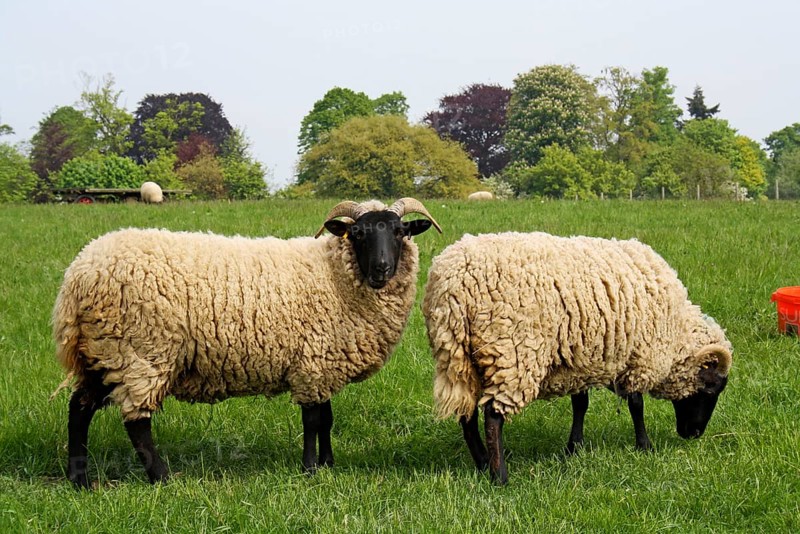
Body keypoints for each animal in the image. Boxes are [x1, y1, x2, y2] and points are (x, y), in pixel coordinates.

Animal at [53, 197, 441, 489]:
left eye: (400, 232)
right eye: (358, 233)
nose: (381, 269)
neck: (334, 276)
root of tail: (78, 273)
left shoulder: (321, 361)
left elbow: (327, 418)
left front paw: (329, 464)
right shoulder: (311, 363)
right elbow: (313, 421)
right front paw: (310, 470)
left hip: (105, 350)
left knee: (79, 407)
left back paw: (79, 480)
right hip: (141, 351)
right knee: (136, 421)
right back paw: (161, 478)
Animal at [422, 232, 732, 485]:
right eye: (711, 389)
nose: (693, 434)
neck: (677, 330)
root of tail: (452, 284)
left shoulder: (580, 356)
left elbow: (580, 404)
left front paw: (575, 447)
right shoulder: (637, 356)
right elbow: (636, 405)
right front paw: (645, 446)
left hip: (458, 356)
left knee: (467, 415)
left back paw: (483, 464)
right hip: (512, 353)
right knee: (493, 415)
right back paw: (500, 477)